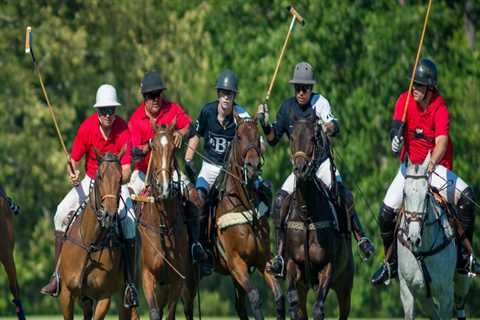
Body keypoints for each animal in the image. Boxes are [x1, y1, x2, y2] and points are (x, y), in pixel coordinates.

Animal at [57, 148, 139, 320]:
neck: (90, 243)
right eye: (100, 176)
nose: (109, 215)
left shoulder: (104, 296)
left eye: (120, 179)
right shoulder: (67, 294)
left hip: (123, 296)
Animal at [137, 120, 189, 320]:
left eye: (174, 148)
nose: (164, 187)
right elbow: (154, 313)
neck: (163, 224)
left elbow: (171, 313)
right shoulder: (147, 275)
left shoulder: (177, 280)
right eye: (153, 147)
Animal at [182, 115, 284, 320]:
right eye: (238, 136)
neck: (244, 204)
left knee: (240, 307)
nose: (252, 167)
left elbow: (278, 296)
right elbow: (255, 297)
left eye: (258, 136)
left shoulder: (262, 259)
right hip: (190, 274)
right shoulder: (236, 262)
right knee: (186, 305)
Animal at [284, 119, 354, 320]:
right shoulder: (293, 264)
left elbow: (318, 308)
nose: (300, 169)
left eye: (313, 138)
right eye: (292, 138)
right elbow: (294, 302)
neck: (307, 214)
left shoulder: (327, 267)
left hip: (345, 283)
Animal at [398, 154, 458, 318]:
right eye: (404, 193)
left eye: (426, 195)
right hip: (424, 298)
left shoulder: (446, 293)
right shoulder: (408, 290)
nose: (413, 239)